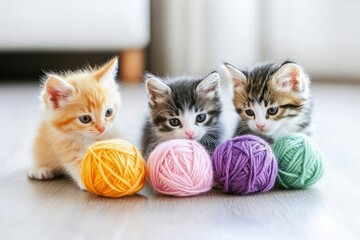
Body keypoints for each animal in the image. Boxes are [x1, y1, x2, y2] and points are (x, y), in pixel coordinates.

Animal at [28, 57, 121, 188]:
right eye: (85, 119)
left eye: (108, 112)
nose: (102, 128)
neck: (89, 139)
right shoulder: (63, 146)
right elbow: (80, 165)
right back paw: (39, 170)